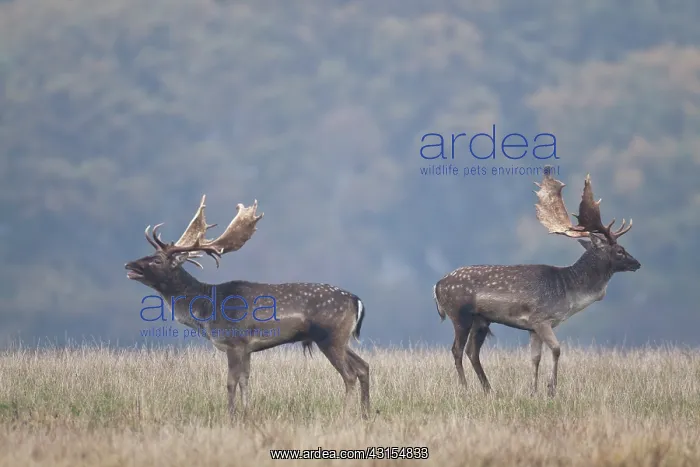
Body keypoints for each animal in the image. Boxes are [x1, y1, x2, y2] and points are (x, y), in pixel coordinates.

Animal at [125, 196, 370, 420]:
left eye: (157, 260)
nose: (129, 265)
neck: (206, 310)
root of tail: (357, 300)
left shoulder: (234, 342)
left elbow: (230, 382)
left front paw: (231, 416)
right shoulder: (248, 348)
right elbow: (245, 380)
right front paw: (246, 413)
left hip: (330, 337)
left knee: (349, 374)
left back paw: (345, 415)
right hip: (340, 339)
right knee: (363, 367)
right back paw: (365, 413)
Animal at [433, 167, 640, 397]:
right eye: (619, 250)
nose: (637, 263)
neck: (568, 291)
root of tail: (436, 286)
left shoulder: (532, 327)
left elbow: (535, 358)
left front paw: (533, 391)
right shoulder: (541, 318)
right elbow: (557, 350)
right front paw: (551, 389)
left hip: (481, 320)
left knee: (472, 351)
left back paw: (489, 389)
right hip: (460, 314)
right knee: (457, 350)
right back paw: (465, 388)